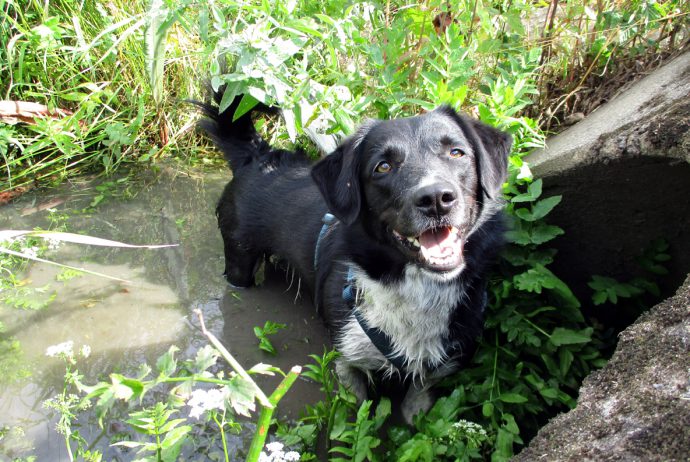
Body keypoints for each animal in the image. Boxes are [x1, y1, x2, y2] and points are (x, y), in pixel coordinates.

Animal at [196, 97, 508, 422]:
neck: (411, 284)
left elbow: (416, 410)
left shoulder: (437, 369)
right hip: (238, 258)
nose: (435, 198)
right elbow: (352, 414)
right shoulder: (348, 359)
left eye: (456, 152)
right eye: (383, 166)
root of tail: (258, 155)